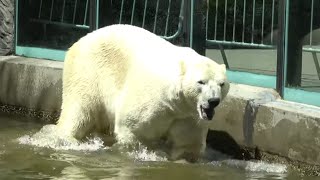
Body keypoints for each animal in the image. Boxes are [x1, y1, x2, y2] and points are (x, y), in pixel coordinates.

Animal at [56, 24, 229, 162]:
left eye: (222, 84)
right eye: (201, 82)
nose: (213, 101)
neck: (176, 102)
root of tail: (80, 41)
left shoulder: (188, 116)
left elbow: (187, 142)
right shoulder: (153, 100)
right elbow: (134, 128)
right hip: (88, 71)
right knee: (80, 110)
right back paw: (68, 137)